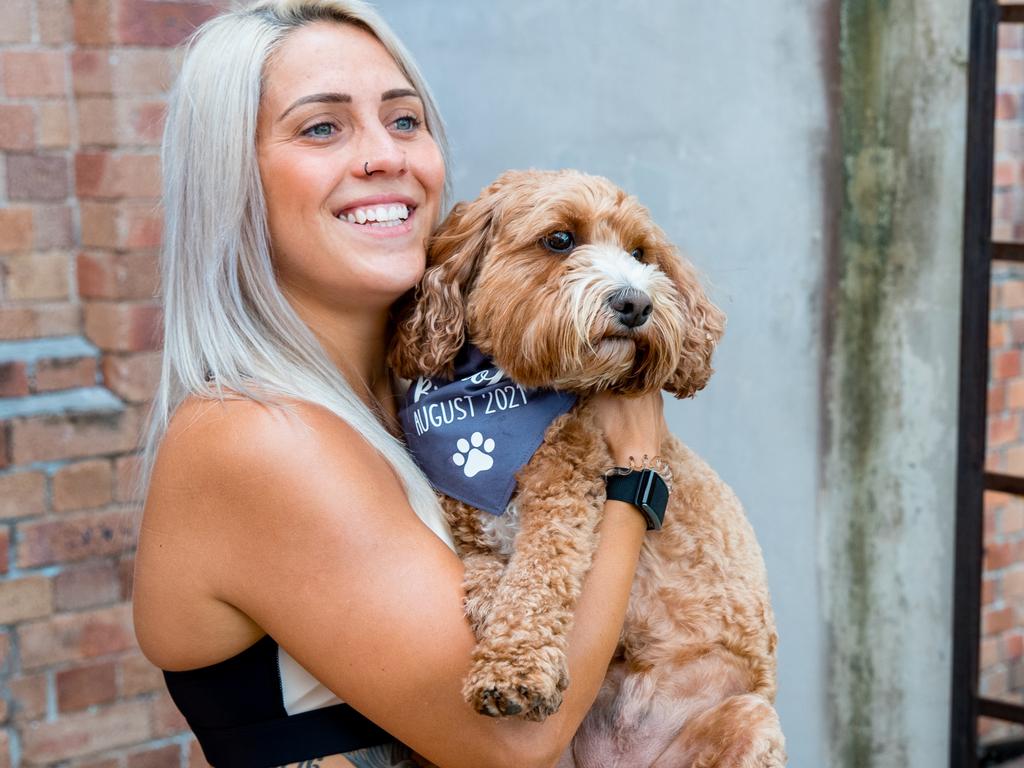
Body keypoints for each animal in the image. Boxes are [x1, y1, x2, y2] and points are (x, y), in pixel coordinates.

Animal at [387, 171, 786, 765]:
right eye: (559, 240)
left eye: (640, 253)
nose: (635, 302)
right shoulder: (464, 519)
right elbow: (485, 571)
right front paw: (495, 620)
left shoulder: (564, 500)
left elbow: (537, 579)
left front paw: (513, 670)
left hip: (750, 721)